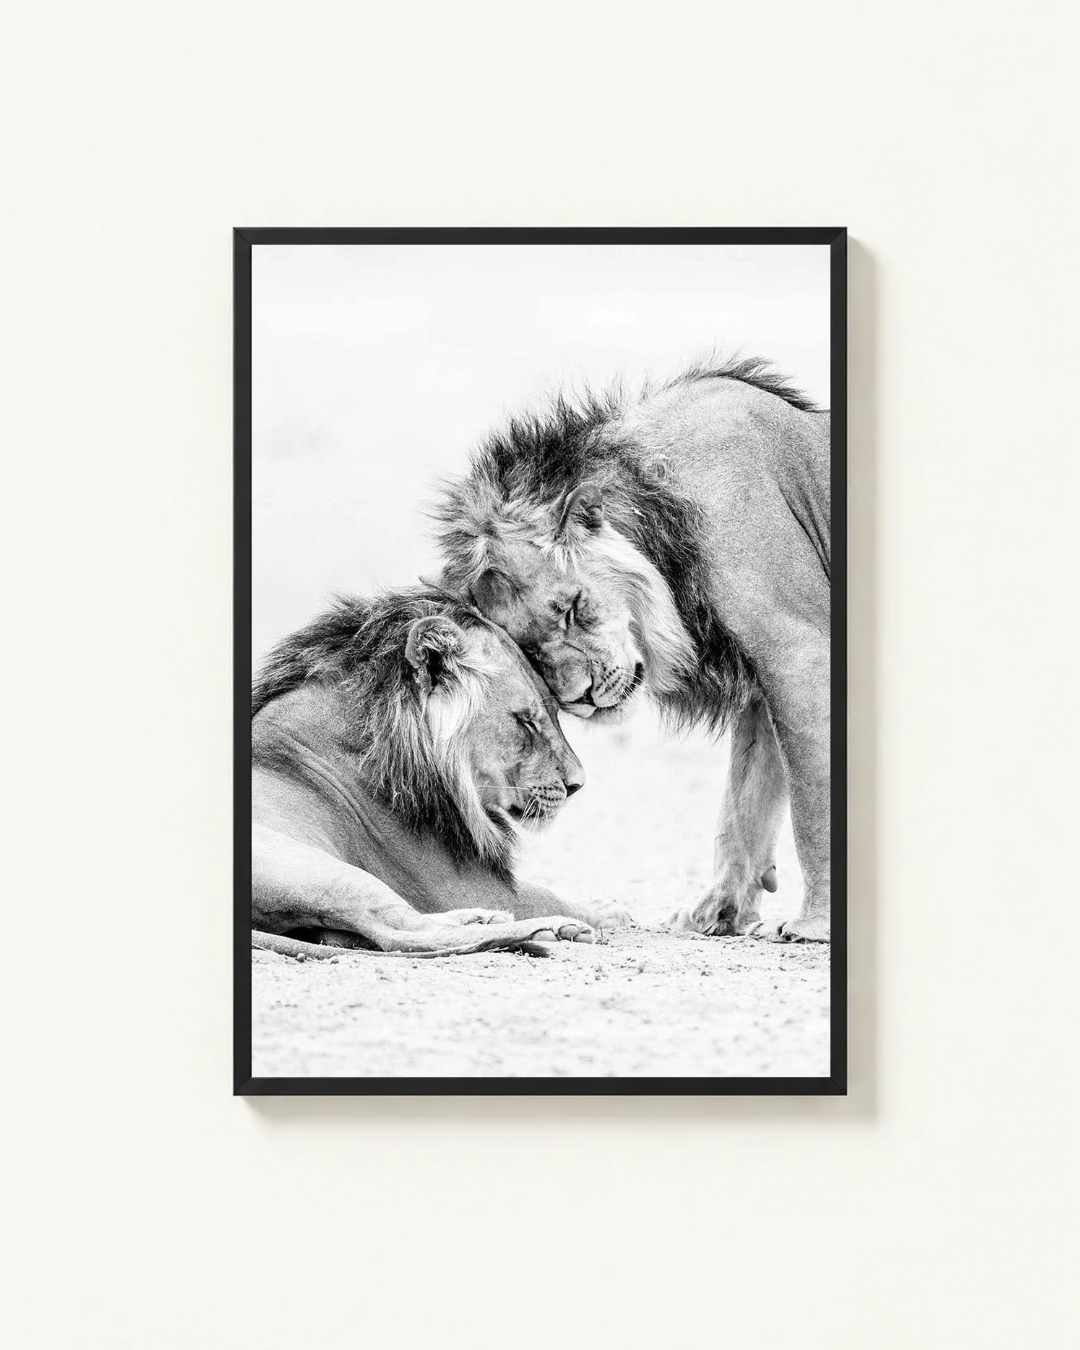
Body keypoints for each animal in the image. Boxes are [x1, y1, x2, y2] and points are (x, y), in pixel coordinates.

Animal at [252, 587, 620, 958]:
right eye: (525, 720)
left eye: (556, 713)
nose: (577, 784)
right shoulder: (457, 886)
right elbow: (548, 895)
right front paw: (609, 912)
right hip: (327, 871)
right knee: (399, 933)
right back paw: (549, 929)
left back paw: (483, 918)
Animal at [435, 357, 832, 942]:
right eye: (528, 647)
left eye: (572, 607)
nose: (580, 697)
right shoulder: (764, 679)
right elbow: (743, 803)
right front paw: (717, 912)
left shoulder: (800, 654)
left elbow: (813, 801)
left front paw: (814, 924)